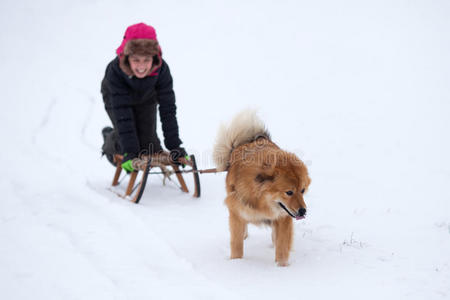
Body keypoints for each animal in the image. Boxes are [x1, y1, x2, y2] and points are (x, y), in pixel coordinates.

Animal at [214, 109, 312, 264]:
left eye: (302, 191)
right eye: (289, 192)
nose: (303, 211)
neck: (261, 201)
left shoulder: (283, 218)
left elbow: (282, 246)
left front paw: (281, 266)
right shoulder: (236, 213)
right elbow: (237, 244)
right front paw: (237, 263)